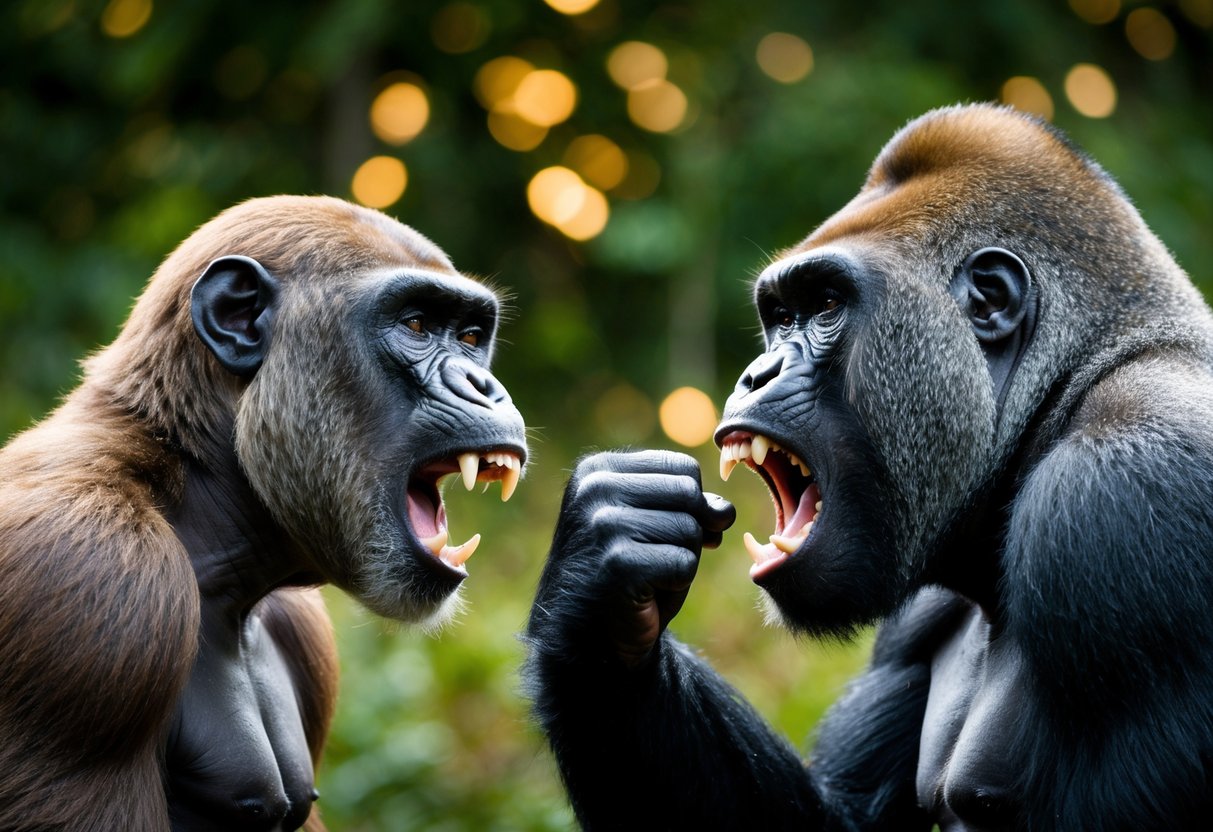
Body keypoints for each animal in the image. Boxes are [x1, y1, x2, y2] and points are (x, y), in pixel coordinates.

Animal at [523, 104, 1213, 830]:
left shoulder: (1122, 501)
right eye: (780, 316)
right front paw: (596, 605)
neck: (1062, 395)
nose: (754, 374)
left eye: (826, 306)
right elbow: (842, 817)